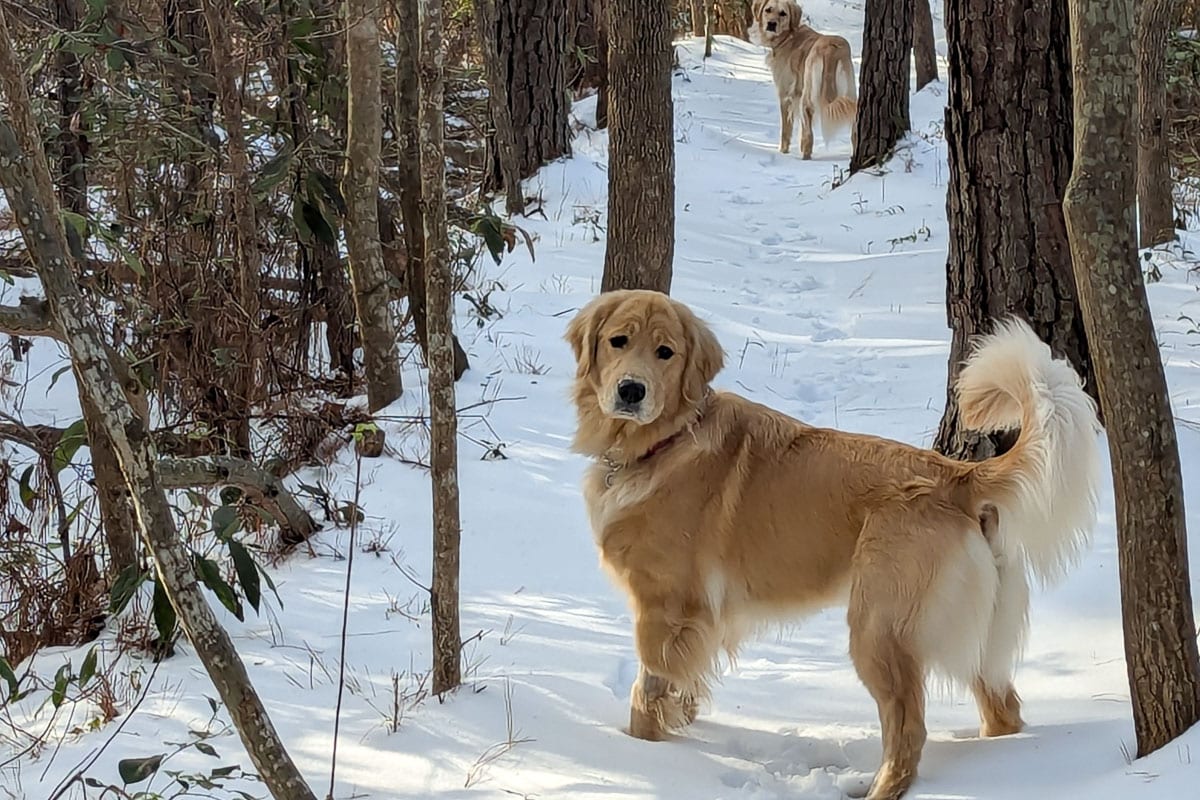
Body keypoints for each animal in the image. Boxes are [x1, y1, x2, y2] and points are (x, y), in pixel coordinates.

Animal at [566, 291, 1099, 800]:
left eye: (665, 352)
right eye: (618, 341)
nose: (630, 391)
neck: (667, 440)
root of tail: (959, 476)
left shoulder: (664, 611)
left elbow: (646, 695)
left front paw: (644, 752)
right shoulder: (701, 624)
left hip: (879, 630)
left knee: (909, 730)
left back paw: (879, 788)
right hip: (974, 638)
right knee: (1003, 710)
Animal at [748, 0, 854, 158]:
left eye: (783, 13)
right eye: (768, 10)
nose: (771, 24)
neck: (788, 36)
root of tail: (831, 47)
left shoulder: (785, 95)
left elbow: (786, 129)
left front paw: (783, 151)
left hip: (807, 97)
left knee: (808, 133)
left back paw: (805, 155)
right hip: (850, 93)